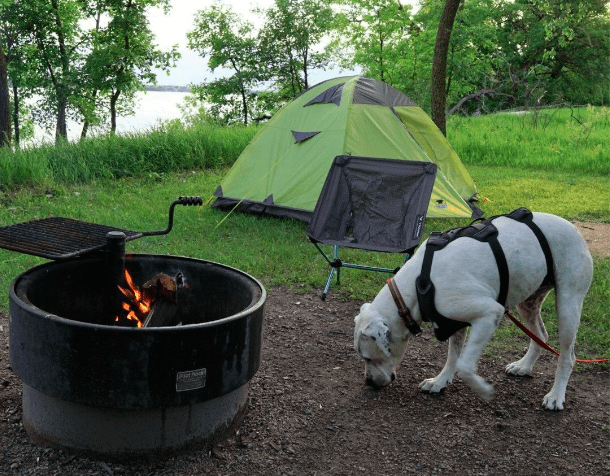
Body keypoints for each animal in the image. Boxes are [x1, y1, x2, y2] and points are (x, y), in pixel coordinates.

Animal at [354, 212, 592, 410]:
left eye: (367, 358)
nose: (368, 382)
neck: (417, 283)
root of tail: (575, 228)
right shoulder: (454, 323)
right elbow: (453, 357)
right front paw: (440, 381)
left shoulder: (489, 315)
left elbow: (465, 366)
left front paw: (483, 390)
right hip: (528, 303)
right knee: (540, 335)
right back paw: (524, 366)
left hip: (568, 306)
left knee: (568, 356)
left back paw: (556, 395)